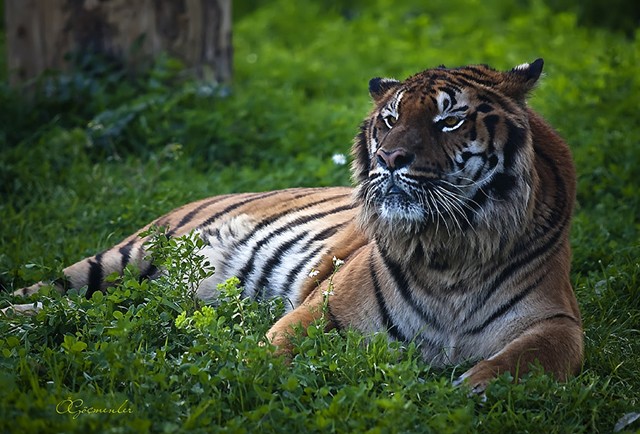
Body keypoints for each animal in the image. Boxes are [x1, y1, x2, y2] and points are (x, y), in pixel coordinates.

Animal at [1, 57, 580, 390]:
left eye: (450, 120)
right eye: (391, 119)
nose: (390, 159)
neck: (450, 249)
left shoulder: (557, 322)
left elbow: (524, 363)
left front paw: (469, 390)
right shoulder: (323, 310)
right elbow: (271, 357)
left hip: (140, 294)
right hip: (121, 260)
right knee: (44, 296)